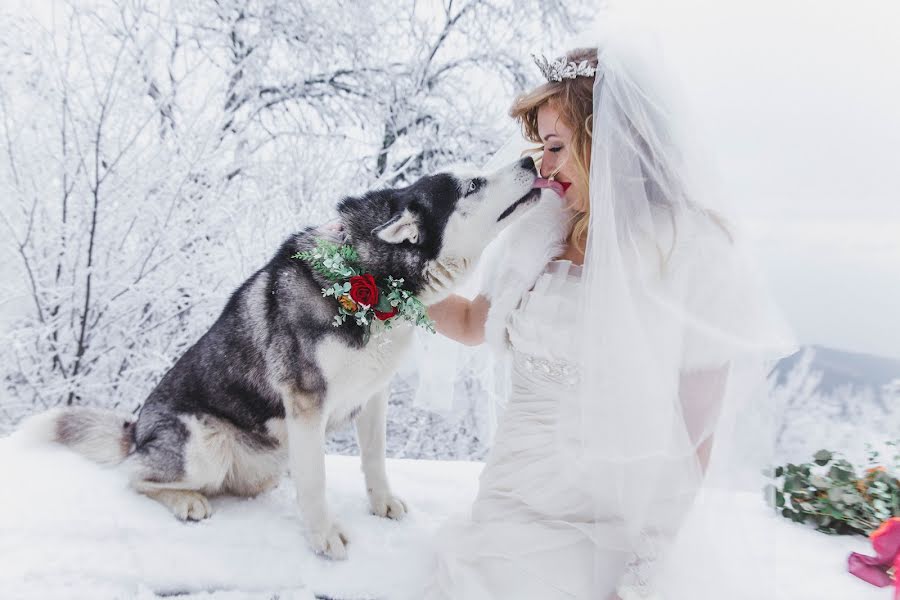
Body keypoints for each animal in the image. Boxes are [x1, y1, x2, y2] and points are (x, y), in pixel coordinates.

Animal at [26, 156, 536, 556]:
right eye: (473, 185)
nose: (531, 161)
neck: (369, 278)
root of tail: (137, 431)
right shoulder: (307, 401)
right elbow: (316, 479)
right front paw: (322, 534)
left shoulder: (373, 394)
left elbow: (374, 459)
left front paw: (381, 503)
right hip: (204, 447)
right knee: (137, 477)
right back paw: (186, 499)